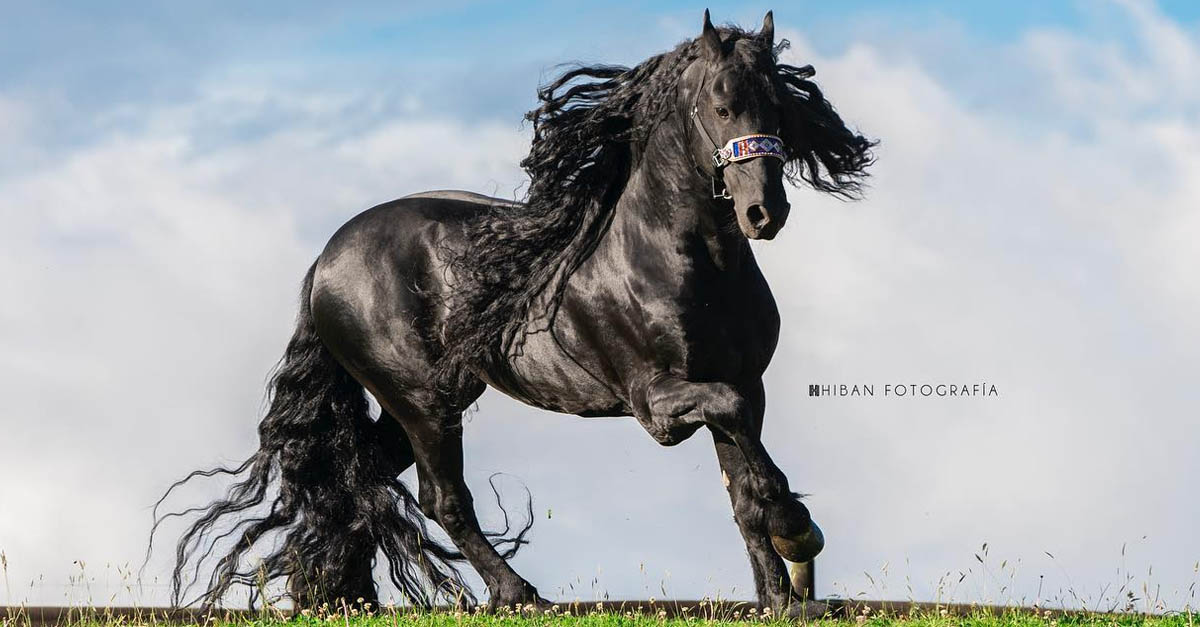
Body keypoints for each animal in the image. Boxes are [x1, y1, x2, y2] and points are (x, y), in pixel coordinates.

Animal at [154, 9, 878, 614]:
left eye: (780, 107)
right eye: (722, 106)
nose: (764, 213)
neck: (682, 258)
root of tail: (323, 264)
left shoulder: (745, 384)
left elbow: (744, 491)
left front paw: (783, 596)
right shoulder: (659, 401)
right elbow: (747, 465)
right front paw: (800, 535)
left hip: (421, 402)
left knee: (358, 484)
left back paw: (341, 591)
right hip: (422, 403)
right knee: (439, 498)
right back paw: (518, 593)